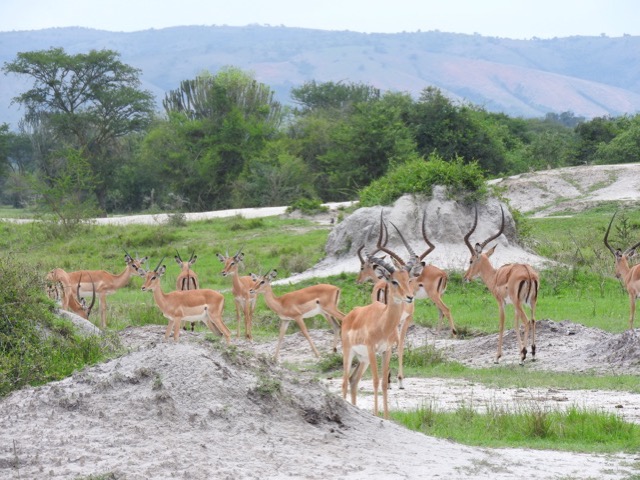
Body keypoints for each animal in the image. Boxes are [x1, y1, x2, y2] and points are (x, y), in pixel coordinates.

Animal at [462, 204, 536, 366]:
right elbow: (515, 325)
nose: (465, 278)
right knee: (533, 320)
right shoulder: (514, 306)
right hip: (531, 302)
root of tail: (528, 272)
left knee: (527, 322)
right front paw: (520, 352)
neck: (495, 276)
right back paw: (533, 354)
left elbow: (502, 325)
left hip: (519, 303)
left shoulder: (501, 303)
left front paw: (497, 357)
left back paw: (523, 358)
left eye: (471, 260)